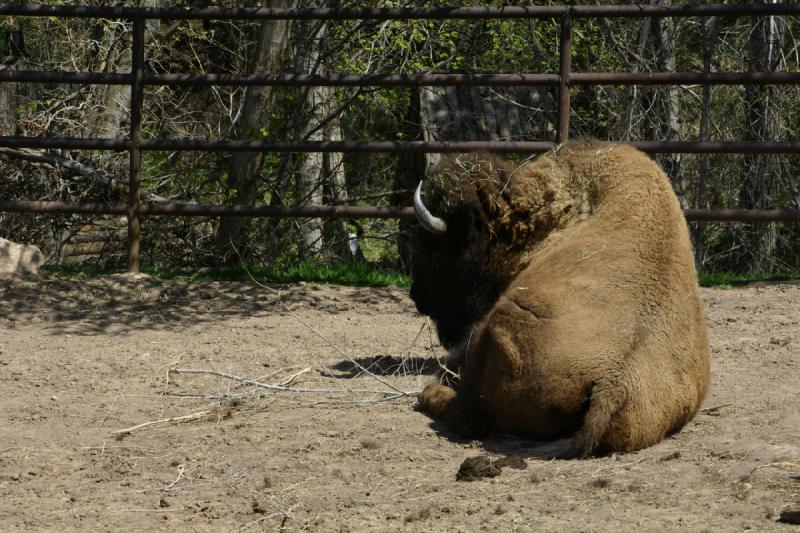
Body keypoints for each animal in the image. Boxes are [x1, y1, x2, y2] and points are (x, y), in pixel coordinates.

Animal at [410, 141, 708, 458]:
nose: (416, 295)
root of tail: (614, 385)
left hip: (495, 326)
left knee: (468, 413)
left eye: (440, 244)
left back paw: (429, 393)